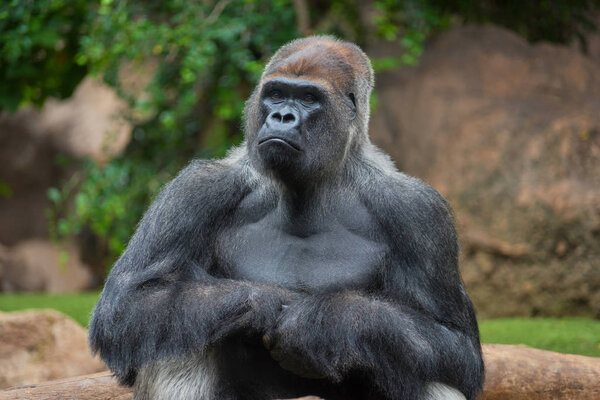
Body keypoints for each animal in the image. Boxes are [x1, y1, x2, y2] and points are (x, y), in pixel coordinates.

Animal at [88, 36, 482, 400]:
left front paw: (322, 324)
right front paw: (263, 303)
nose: (281, 117)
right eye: (276, 94)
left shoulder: (418, 210)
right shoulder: (195, 189)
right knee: (175, 333)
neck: (319, 181)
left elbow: (455, 345)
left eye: (308, 98)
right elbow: (129, 304)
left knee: (426, 368)